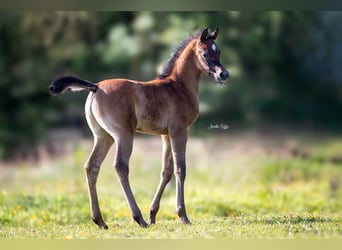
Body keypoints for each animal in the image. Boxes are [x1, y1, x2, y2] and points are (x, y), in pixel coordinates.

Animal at [48, 27, 230, 229]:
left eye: (219, 52)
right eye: (205, 53)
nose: (223, 74)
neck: (179, 87)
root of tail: (96, 87)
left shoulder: (165, 135)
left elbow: (166, 172)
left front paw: (153, 215)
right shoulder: (179, 131)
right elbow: (180, 169)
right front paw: (183, 216)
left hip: (103, 136)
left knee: (91, 166)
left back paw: (100, 221)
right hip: (124, 135)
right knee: (120, 166)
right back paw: (138, 218)